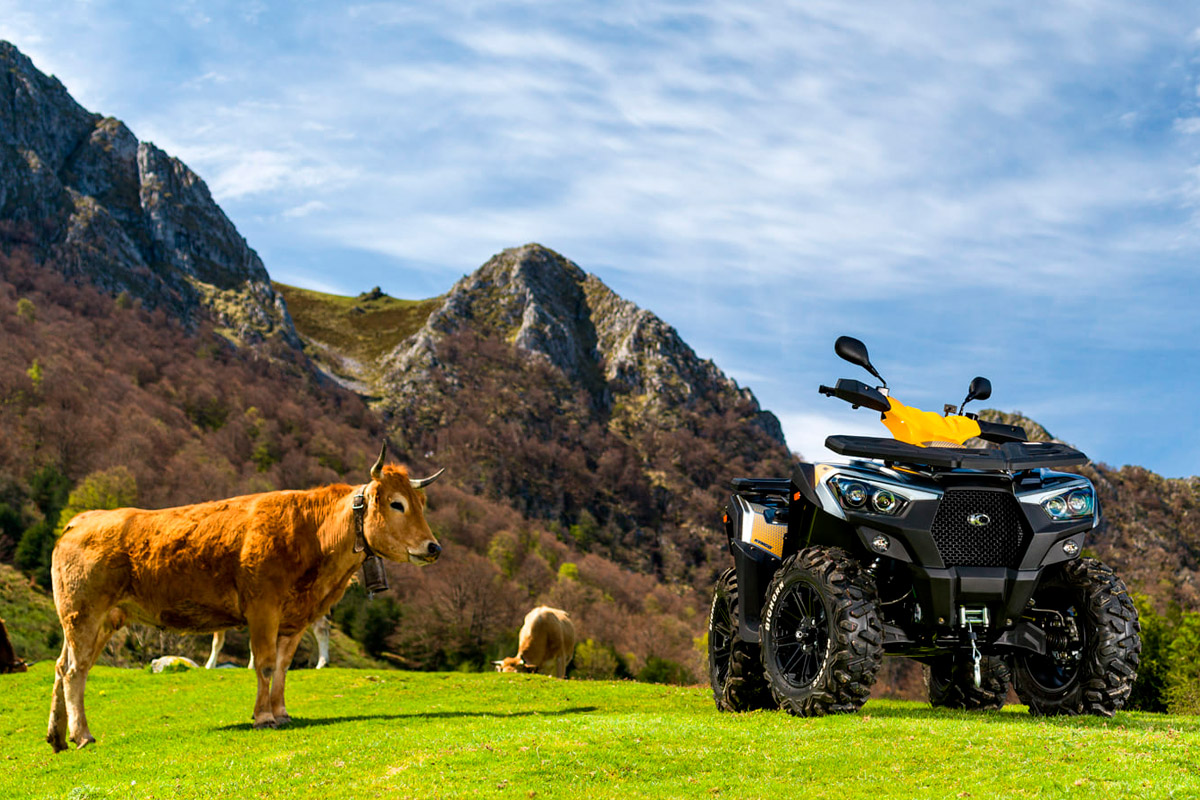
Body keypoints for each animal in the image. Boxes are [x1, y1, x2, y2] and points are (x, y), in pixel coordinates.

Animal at [45, 448, 446, 753]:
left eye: (421, 504)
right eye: (397, 504)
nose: (434, 547)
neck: (312, 535)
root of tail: (82, 519)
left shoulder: (294, 620)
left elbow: (283, 667)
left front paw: (281, 712)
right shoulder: (263, 609)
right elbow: (265, 665)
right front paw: (263, 717)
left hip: (98, 619)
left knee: (64, 666)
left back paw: (58, 736)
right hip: (84, 614)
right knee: (74, 670)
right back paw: (83, 736)